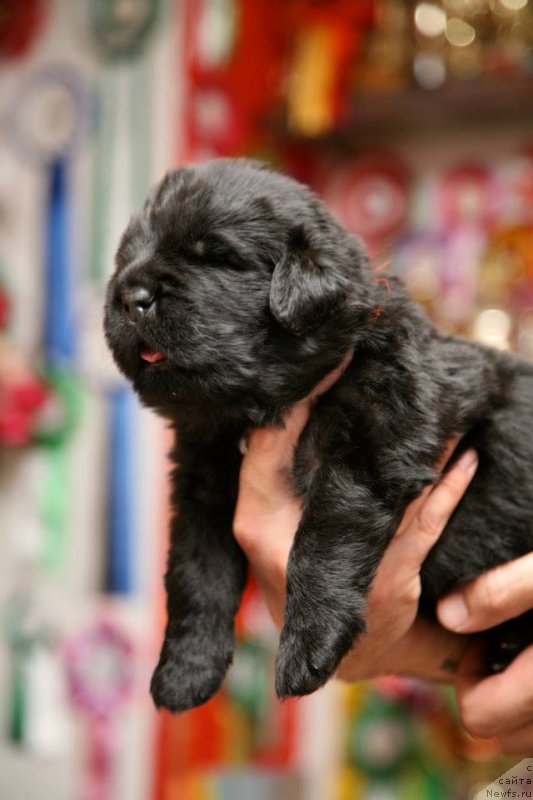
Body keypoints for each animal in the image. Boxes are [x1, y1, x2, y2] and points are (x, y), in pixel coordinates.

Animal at [104, 156, 532, 712]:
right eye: (127, 256)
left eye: (216, 256)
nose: (128, 295)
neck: (252, 410)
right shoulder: (205, 486)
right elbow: (196, 573)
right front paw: (185, 670)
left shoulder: (373, 445)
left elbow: (321, 540)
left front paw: (309, 648)